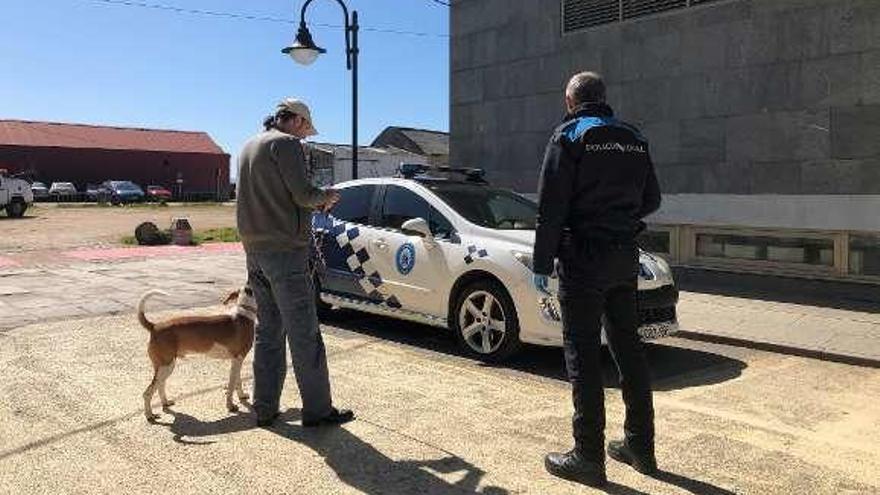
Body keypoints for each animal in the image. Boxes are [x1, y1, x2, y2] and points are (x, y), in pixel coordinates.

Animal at [136, 286, 256, 422]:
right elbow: (231, 386)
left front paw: (242, 396)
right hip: (165, 366)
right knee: (147, 392)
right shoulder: (237, 359)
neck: (244, 312)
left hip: (165, 367)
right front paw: (230, 406)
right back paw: (150, 415)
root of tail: (155, 326)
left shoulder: (237, 361)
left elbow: (238, 381)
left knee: (160, 385)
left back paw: (165, 403)